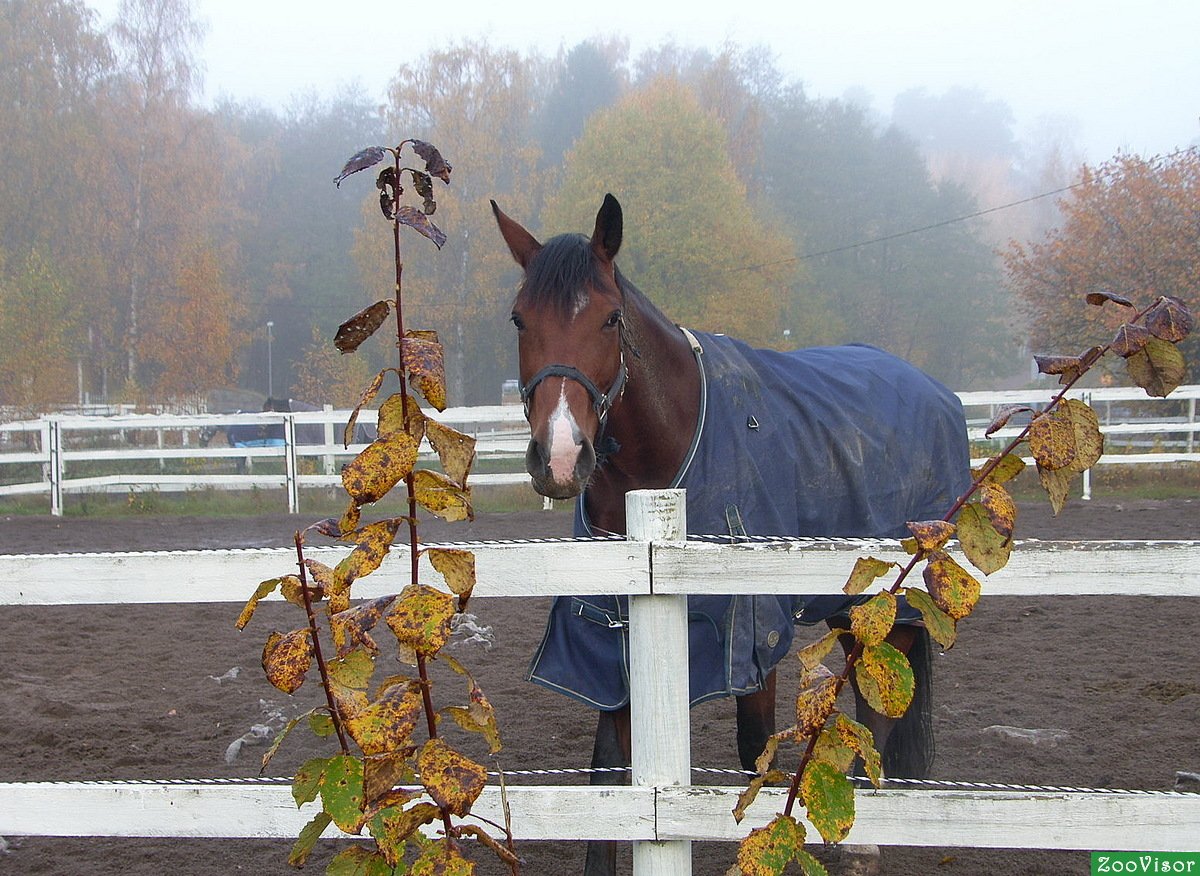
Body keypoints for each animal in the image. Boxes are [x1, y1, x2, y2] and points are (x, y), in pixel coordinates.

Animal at [492, 194, 969, 868]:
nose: (560, 456)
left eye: (611, 319)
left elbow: (755, 754)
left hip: (889, 605)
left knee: (878, 706)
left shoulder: (751, 639)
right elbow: (610, 769)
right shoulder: (611, 637)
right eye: (518, 320)